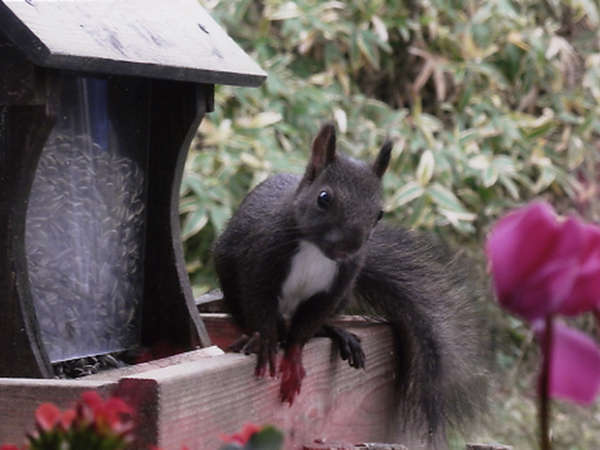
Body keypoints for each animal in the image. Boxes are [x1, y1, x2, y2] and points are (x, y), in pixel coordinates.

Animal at [214, 122, 488, 446]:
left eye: (379, 213)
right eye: (323, 198)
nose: (350, 246)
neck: (315, 250)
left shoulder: (335, 287)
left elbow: (304, 330)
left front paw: (294, 360)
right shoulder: (261, 262)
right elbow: (260, 304)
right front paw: (265, 342)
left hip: (345, 295)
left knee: (312, 324)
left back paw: (336, 332)